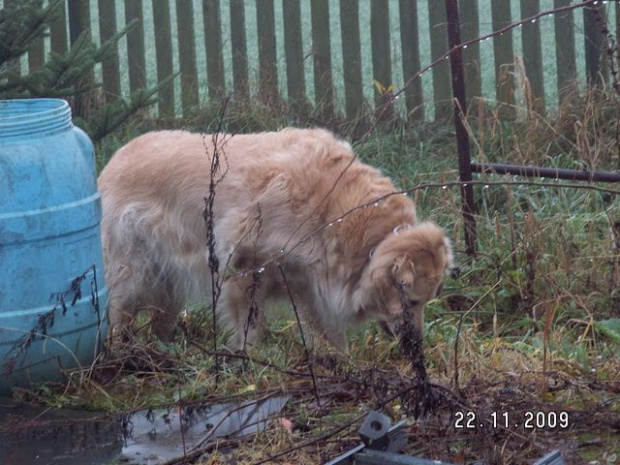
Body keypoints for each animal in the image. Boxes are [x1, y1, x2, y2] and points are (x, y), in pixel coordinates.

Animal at [99, 129, 452, 350]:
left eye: (426, 301)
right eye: (412, 302)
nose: (416, 345)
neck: (335, 208)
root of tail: (114, 158)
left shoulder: (310, 282)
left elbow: (329, 332)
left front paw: (341, 363)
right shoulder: (245, 265)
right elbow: (251, 325)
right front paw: (250, 360)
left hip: (168, 283)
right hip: (131, 273)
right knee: (118, 316)